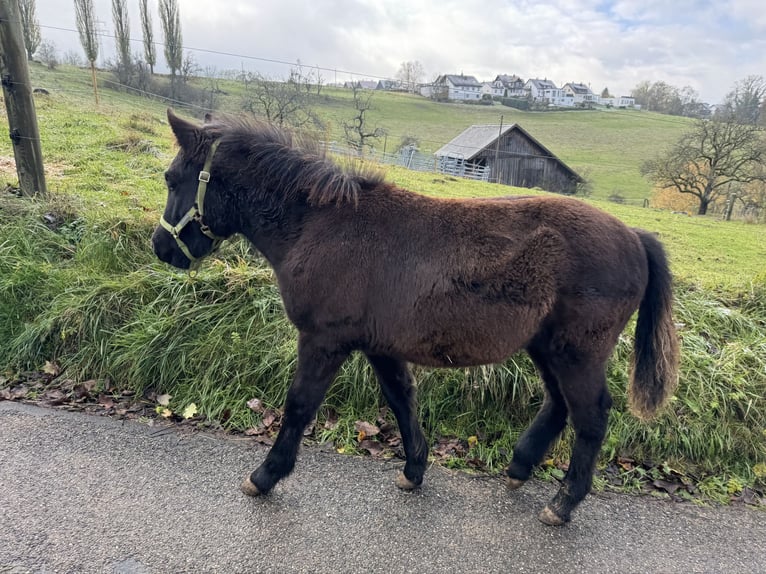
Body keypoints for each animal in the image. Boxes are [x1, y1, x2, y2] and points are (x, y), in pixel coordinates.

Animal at [153, 109, 680, 528]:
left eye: (172, 178)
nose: (162, 249)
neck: (322, 227)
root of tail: (635, 236)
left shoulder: (324, 341)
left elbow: (300, 406)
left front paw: (265, 476)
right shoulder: (379, 346)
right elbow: (402, 401)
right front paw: (414, 471)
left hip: (577, 352)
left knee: (591, 416)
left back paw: (563, 503)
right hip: (546, 347)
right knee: (559, 406)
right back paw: (519, 469)